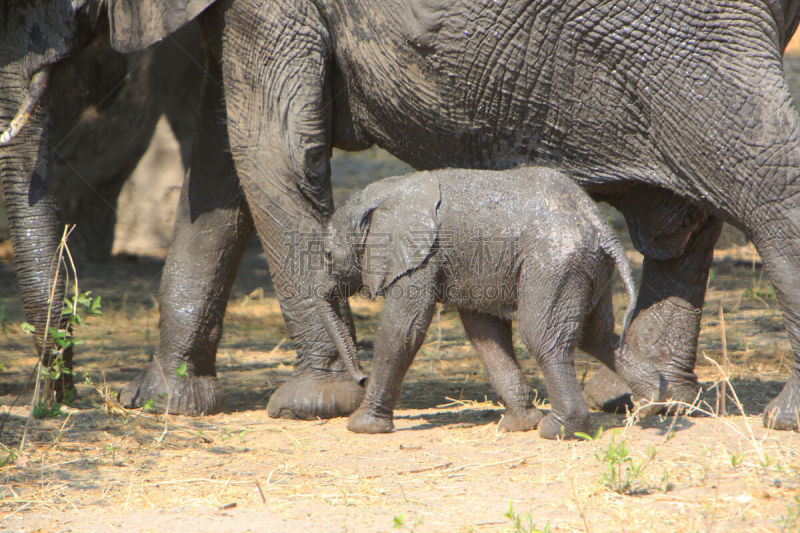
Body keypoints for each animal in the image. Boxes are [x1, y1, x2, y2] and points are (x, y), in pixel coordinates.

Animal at [316, 166, 636, 436]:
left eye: (328, 255)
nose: (361, 378)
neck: (387, 194)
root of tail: (598, 223)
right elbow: (484, 332)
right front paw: (519, 425)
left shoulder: (420, 257)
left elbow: (403, 330)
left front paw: (361, 426)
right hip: (589, 266)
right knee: (599, 337)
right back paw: (647, 408)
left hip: (555, 263)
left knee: (543, 337)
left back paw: (557, 430)